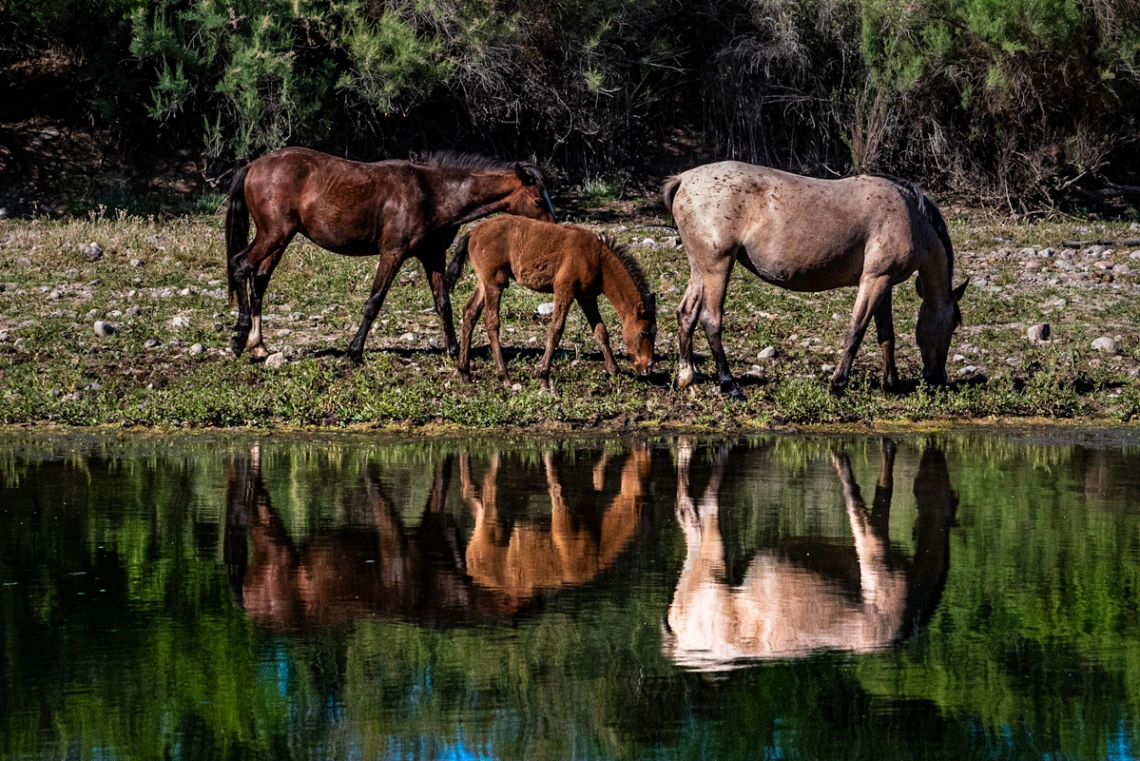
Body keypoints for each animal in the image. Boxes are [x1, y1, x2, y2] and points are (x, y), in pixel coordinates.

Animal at [444, 215, 661, 389]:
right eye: (644, 333)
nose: (647, 367)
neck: (597, 259)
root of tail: (473, 232)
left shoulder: (586, 297)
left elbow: (600, 331)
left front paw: (614, 369)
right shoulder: (564, 290)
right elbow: (556, 330)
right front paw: (543, 376)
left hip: (484, 281)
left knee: (469, 312)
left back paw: (465, 372)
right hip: (494, 283)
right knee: (491, 322)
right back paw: (504, 377)